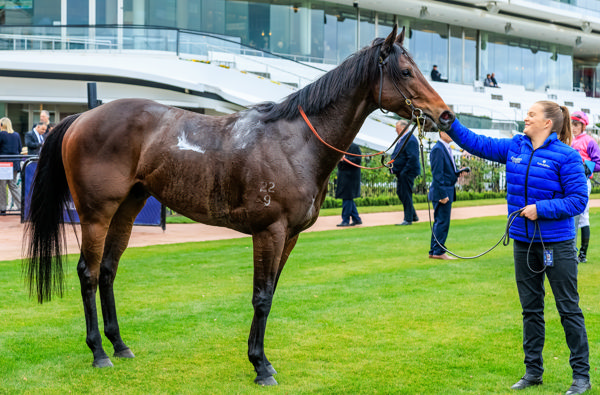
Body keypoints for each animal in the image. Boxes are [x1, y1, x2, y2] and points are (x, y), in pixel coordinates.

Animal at [22, 25, 454, 386]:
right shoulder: (269, 231)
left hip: (128, 208)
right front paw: (260, 366)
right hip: (97, 213)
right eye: (405, 71)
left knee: (109, 271)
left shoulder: (290, 236)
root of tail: (81, 118)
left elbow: (271, 294)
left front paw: (263, 359)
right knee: (89, 272)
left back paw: (120, 345)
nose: (446, 115)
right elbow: (261, 297)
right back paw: (98, 351)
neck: (295, 142)